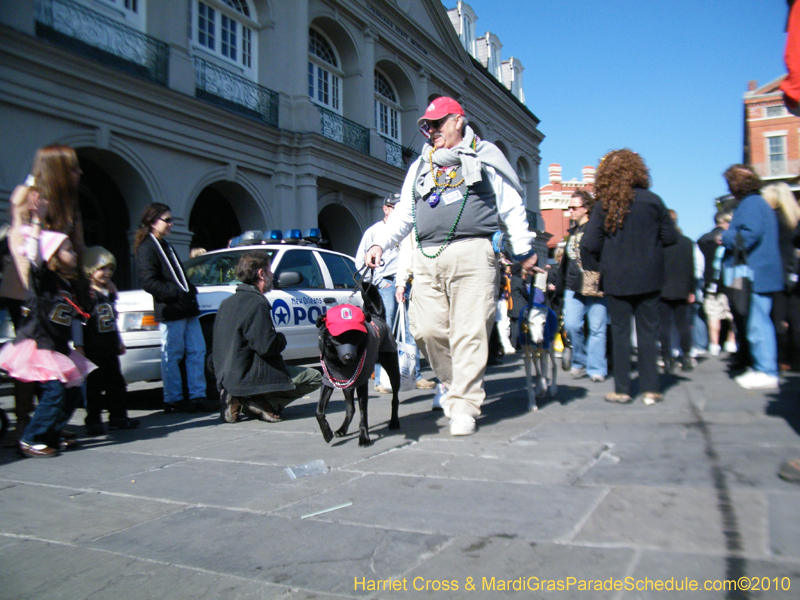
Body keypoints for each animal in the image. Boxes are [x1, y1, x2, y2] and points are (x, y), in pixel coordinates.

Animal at [314, 284, 398, 446]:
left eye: (356, 337)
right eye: (337, 339)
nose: (349, 357)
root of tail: (377, 316)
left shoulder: (361, 382)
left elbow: (363, 413)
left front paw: (364, 437)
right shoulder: (328, 381)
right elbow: (319, 410)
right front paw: (326, 433)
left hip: (392, 369)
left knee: (395, 398)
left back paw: (394, 422)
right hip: (347, 384)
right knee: (350, 408)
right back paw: (342, 429)